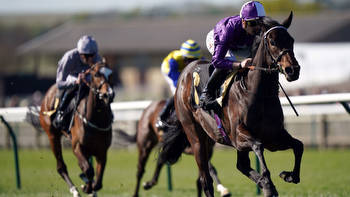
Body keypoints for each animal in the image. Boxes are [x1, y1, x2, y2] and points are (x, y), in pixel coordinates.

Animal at [39, 62, 114, 197]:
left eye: (111, 74)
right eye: (96, 74)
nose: (109, 94)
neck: (96, 118)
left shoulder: (102, 151)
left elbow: (98, 180)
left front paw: (91, 187)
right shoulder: (77, 146)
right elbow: (88, 170)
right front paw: (86, 188)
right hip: (52, 136)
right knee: (61, 167)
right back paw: (74, 190)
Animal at [161, 12, 304, 197]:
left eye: (291, 40)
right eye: (272, 41)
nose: (292, 70)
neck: (259, 93)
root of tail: (185, 72)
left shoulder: (274, 137)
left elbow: (299, 145)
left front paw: (288, 176)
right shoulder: (238, 136)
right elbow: (258, 145)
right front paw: (267, 179)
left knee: (241, 165)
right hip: (195, 137)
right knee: (206, 179)